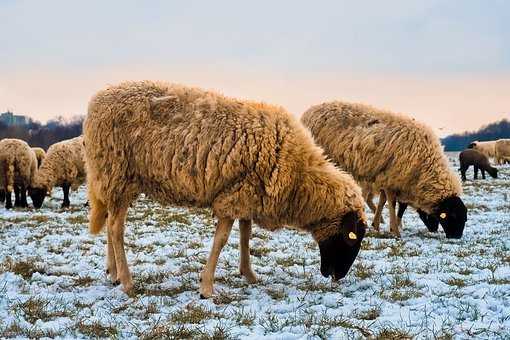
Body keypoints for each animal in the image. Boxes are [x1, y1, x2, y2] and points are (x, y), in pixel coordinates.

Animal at [85, 81, 368, 296]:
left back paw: (113, 273)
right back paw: (127, 282)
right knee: (116, 229)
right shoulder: (232, 197)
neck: (300, 177)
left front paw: (249, 274)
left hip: (114, 182)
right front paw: (207, 288)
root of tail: (97, 101)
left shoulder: (247, 193)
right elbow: (221, 240)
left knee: (110, 223)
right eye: (351, 238)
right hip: (117, 174)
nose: (337, 276)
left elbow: (245, 234)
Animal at [300, 101, 468, 239]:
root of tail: (309, 112)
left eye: (464, 218)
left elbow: (382, 201)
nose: (456, 237)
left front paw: (377, 225)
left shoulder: (385, 178)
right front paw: (395, 231)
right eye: (453, 216)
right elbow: (391, 203)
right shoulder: (391, 177)